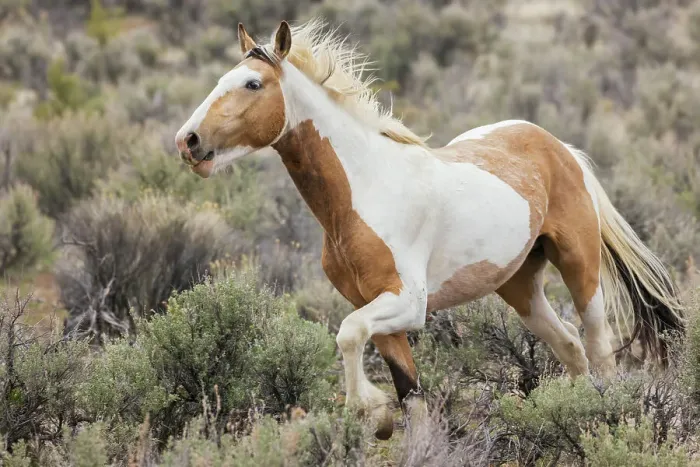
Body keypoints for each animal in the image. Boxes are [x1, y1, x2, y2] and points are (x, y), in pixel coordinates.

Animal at [175, 20, 685, 439]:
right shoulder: (374, 309)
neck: (364, 191)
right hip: (520, 286)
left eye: (252, 83)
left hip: (580, 268)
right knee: (572, 348)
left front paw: (372, 412)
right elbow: (410, 394)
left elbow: (347, 335)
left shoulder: (406, 303)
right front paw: (390, 422)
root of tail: (560, 147)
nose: (188, 141)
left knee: (600, 351)